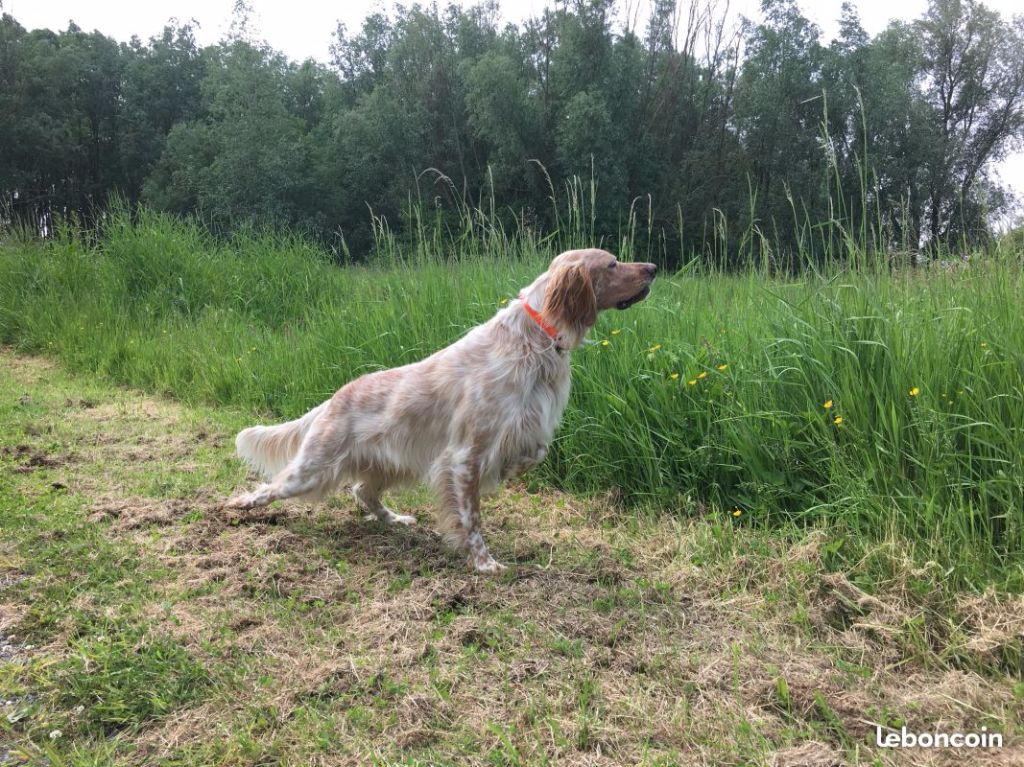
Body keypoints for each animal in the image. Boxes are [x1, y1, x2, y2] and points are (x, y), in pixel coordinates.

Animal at [226, 248, 655, 573]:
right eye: (612, 263)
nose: (653, 268)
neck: (533, 341)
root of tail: (334, 399)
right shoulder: (464, 455)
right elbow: (471, 517)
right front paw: (484, 564)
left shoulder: (525, 427)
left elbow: (533, 453)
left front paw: (506, 471)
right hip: (314, 468)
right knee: (272, 486)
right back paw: (238, 505)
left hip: (392, 466)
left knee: (362, 490)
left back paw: (396, 520)